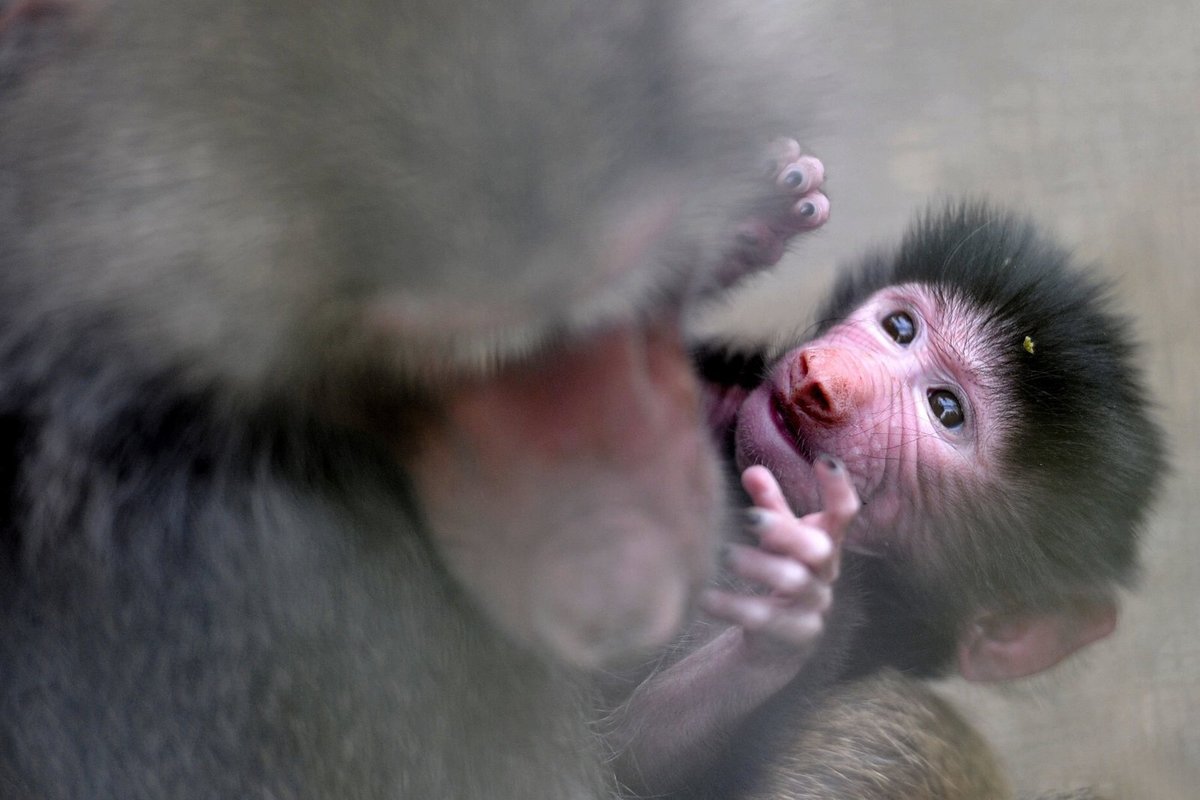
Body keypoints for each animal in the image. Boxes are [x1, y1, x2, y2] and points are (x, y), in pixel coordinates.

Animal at [604, 203, 1166, 800]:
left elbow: (639, 755)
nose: (820, 384)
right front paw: (744, 238)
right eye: (900, 328)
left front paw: (784, 610)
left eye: (946, 409)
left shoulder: (850, 621)